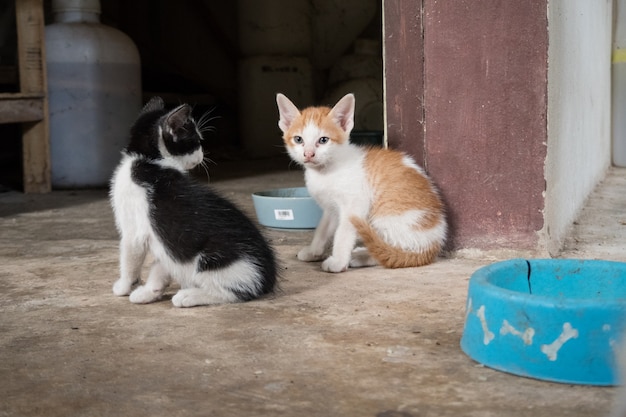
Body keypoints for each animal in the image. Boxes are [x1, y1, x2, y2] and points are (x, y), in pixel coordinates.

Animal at [108, 96, 276, 306]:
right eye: (195, 141)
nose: (202, 156)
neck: (150, 161)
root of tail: (267, 278)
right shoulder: (165, 240)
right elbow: (161, 264)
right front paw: (149, 291)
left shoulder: (134, 228)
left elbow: (130, 257)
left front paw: (124, 286)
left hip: (213, 262)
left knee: (231, 292)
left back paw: (189, 296)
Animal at [276, 92, 446, 272]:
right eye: (298, 139)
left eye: (323, 140)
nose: (308, 154)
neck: (326, 171)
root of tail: (432, 247)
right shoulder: (331, 208)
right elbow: (322, 230)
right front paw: (313, 251)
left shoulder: (355, 204)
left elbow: (343, 233)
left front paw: (338, 262)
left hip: (387, 218)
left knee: (390, 253)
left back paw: (361, 256)